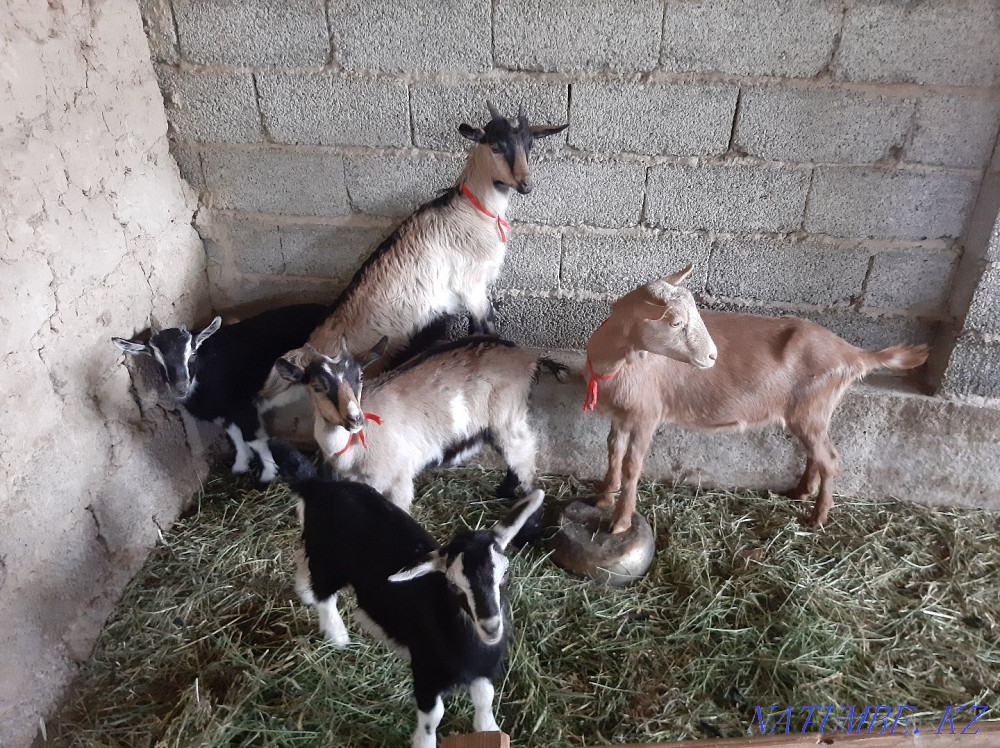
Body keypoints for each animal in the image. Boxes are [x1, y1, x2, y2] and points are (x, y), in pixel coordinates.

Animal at [112, 304, 329, 482]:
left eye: (192, 353)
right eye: (157, 361)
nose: (180, 387)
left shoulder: (244, 407)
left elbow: (253, 439)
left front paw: (268, 474)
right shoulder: (226, 412)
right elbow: (236, 436)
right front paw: (240, 465)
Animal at [260, 102, 567, 401]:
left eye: (530, 144)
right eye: (495, 146)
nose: (526, 184)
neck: (475, 210)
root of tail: (305, 349)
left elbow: (476, 329)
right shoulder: (472, 285)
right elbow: (488, 327)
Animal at [271, 442, 543, 748]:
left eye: (505, 573)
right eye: (453, 585)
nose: (491, 626)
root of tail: (318, 486)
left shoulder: (483, 671)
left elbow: (485, 699)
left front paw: (489, 728)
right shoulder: (425, 670)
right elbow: (433, 716)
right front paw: (424, 742)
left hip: (316, 548)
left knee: (301, 558)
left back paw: (303, 591)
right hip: (329, 561)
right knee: (324, 595)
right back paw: (337, 634)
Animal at [274, 335, 568, 514]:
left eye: (359, 377)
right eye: (316, 386)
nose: (355, 418)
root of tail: (527, 357)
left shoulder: (398, 481)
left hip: (508, 418)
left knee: (525, 461)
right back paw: (504, 492)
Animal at [584, 266, 929, 533]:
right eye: (675, 322)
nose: (712, 356)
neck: (616, 363)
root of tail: (852, 354)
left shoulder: (646, 414)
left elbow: (632, 465)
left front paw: (620, 522)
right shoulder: (620, 416)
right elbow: (613, 452)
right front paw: (604, 497)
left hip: (812, 408)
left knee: (829, 459)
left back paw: (817, 518)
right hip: (811, 413)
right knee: (817, 454)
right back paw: (802, 492)